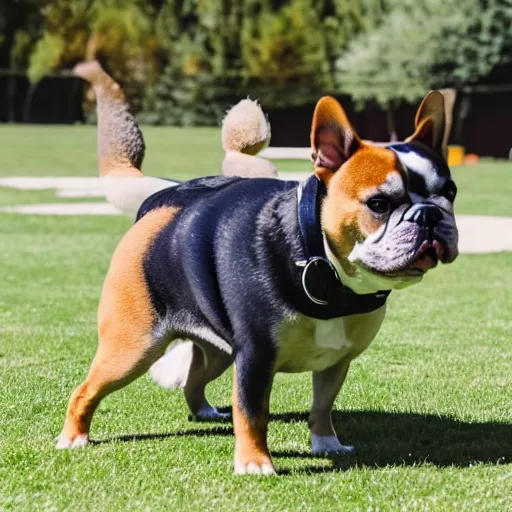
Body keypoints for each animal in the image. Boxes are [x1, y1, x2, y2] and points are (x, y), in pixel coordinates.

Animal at [58, 62, 458, 474]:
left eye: (451, 192)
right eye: (378, 204)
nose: (429, 215)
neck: (323, 263)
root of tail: (165, 198)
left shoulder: (336, 362)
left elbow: (323, 405)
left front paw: (326, 443)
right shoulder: (255, 358)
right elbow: (252, 412)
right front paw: (255, 463)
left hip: (217, 349)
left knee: (195, 377)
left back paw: (204, 412)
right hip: (133, 347)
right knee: (85, 390)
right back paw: (73, 437)